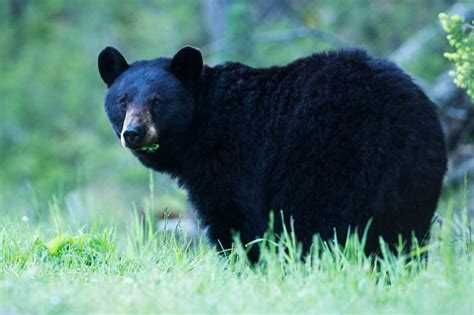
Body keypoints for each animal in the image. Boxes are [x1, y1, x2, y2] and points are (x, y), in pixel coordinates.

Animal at [98, 45, 446, 262]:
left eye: (158, 101)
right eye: (123, 100)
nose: (133, 133)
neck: (201, 124)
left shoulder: (232, 161)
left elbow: (234, 219)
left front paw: (244, 264)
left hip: (326, 159)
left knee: (320, 222)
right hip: (415, 177)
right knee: (402, 232)